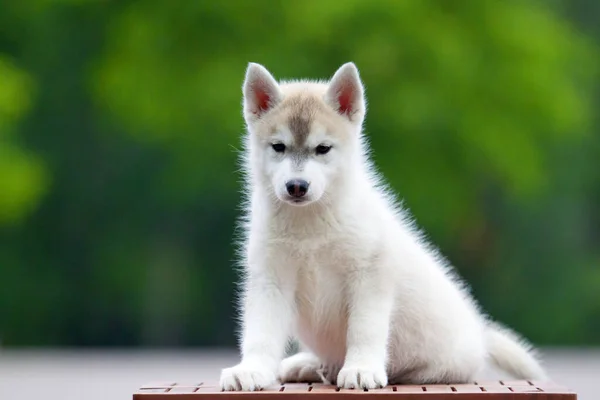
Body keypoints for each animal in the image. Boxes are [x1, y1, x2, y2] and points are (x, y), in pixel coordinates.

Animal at [218, 62, 548, 390]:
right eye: (278, 147)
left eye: (323, 149)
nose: (296, 186)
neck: (310, 226)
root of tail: (480, 337)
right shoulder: (270, 279)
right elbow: (260, 334)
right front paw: (251, 370)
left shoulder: (369, 276)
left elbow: (364, 330)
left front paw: (361, 368)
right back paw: (310, 364)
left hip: (442, 362)